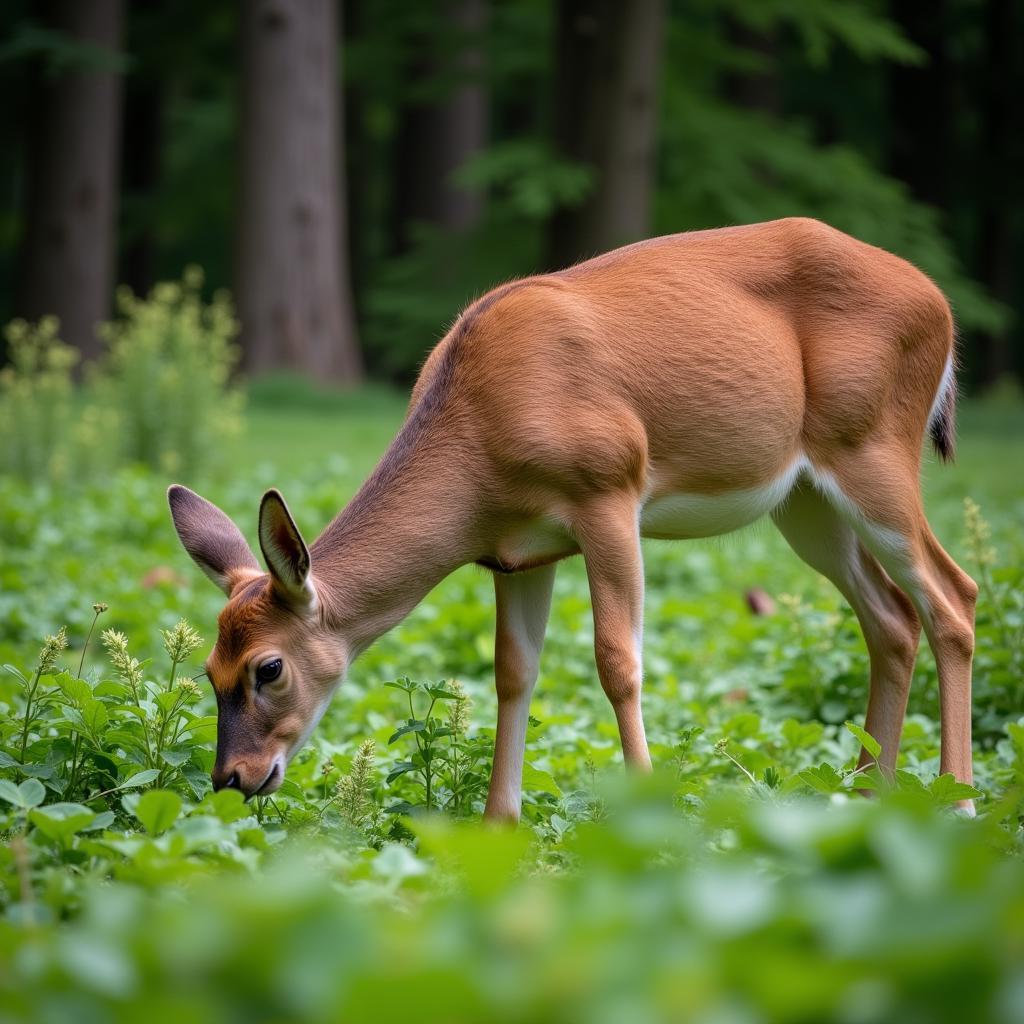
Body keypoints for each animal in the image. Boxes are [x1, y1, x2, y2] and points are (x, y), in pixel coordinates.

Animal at [167, 218, 974, 823]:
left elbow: (618, 662)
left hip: (875, 447)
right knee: (892, 617)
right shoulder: (517, 551)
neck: (481, 438)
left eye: (269, 667)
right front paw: (499, 823)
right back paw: (866, 796)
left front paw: (649, 811)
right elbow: (513, 671)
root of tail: (943, 304)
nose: (233, 777)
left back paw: (960, 803)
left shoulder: (609, 492)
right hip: (804, 499)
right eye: (207, 669)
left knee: (953, 596)